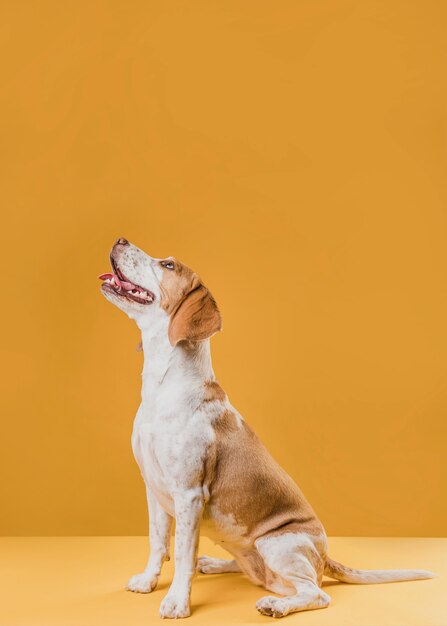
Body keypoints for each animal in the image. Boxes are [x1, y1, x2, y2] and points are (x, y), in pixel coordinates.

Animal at [99, 236, 438, 616]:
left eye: (168, 265)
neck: (162, 386)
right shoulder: (154, 490)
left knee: (316, 593)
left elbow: (183, 554)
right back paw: (214, 564)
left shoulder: (188, 494)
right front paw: (147, 581)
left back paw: (275, 605)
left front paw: (176, 602)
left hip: (277, 544)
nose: (121, 239)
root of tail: (324, 557)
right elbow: (158, 542)